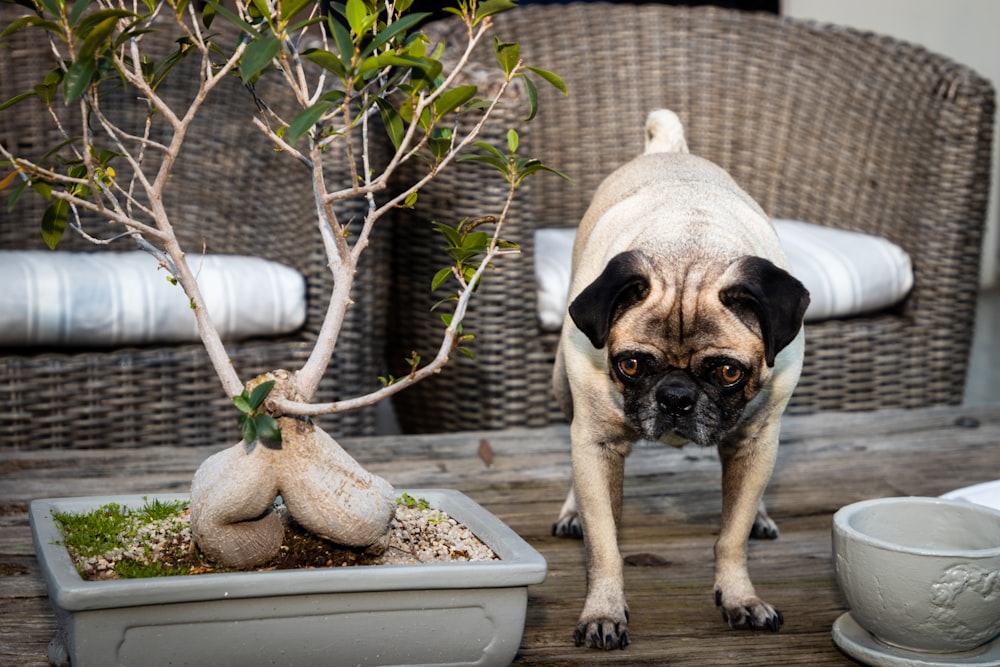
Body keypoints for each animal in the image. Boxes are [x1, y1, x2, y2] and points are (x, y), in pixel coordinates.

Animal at [552, 111, 808, 652]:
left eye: (729, 372)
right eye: (630, 365)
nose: (675, 397)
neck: (689, 246)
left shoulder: (755, 441)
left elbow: (730, 537)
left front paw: (740, 597)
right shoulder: (596, 443)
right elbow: (604, 546)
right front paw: (603, 611)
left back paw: (759, 514)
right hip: (562, 388)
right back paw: (572, 511)